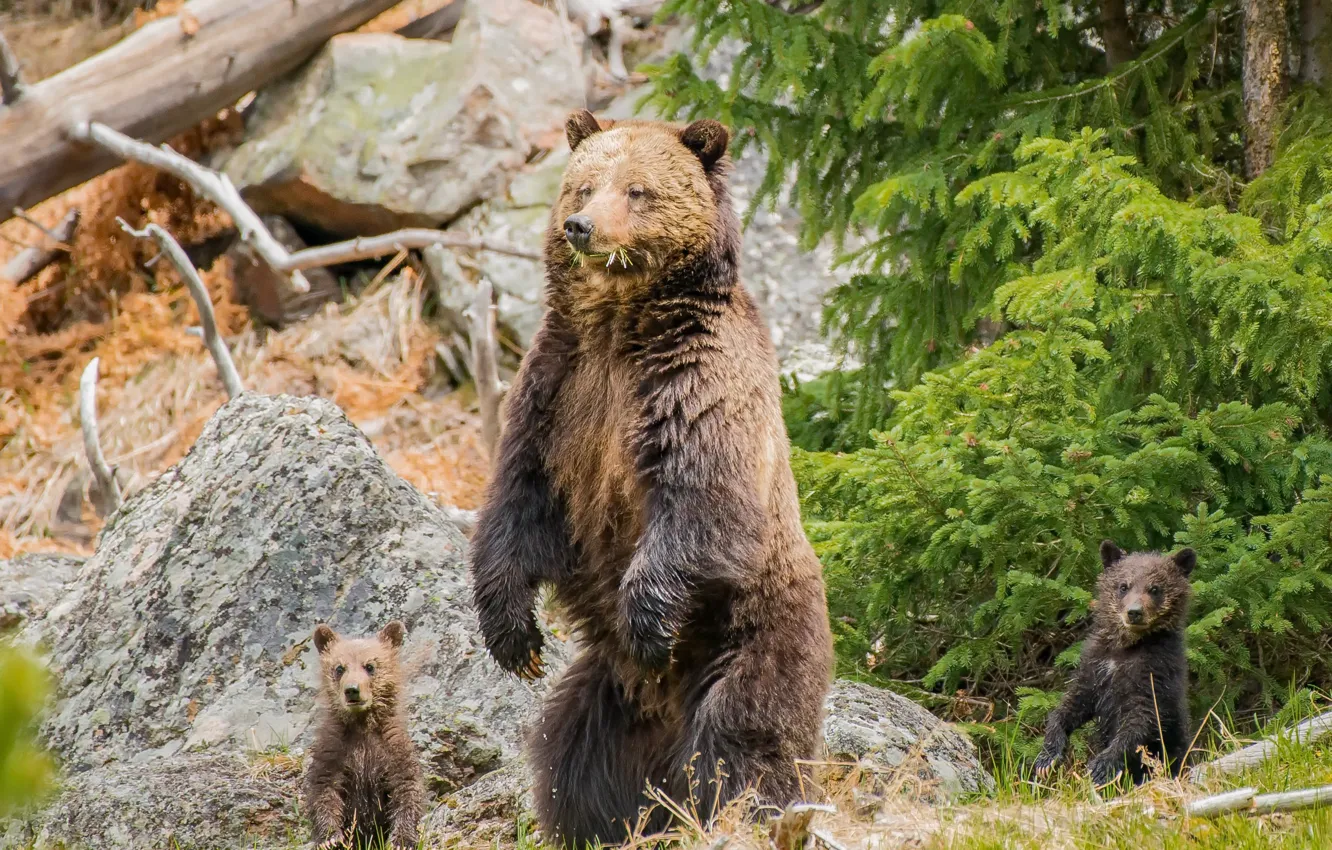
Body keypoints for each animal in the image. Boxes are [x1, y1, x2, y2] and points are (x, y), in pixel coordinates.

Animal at [304, 621, 424, 849]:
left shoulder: (393, 748)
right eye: (339, 668)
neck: (362, 725)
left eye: (370, 666)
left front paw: (402, 839)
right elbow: (323, 789)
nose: (352, 690)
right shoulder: (334, 749)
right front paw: (330, 838)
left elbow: (406, 787)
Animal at [468, 109, 835, 848]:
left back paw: (745, 810)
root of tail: (662, 716)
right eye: (583, 185)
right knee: (571, 757)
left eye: (638, 190)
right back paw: (605, 822)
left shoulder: (696, 383)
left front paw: (646, 620)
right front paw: (513, 635)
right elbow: (519, 499)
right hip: (604, 693)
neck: (621, 325)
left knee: (746, 734)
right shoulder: (557, 391)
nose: (581, 226)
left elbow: (702, 501)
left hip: (760, 630)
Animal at [1034, 540, 1194, 786]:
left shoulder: (1155, 670)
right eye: (1123, 586)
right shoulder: (1095, 666)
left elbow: (1141, 718)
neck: (1125, 646)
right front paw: (1047, 757)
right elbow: (1073, 703)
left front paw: (1100, 766)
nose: (1134, 612)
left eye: (1155, 588)